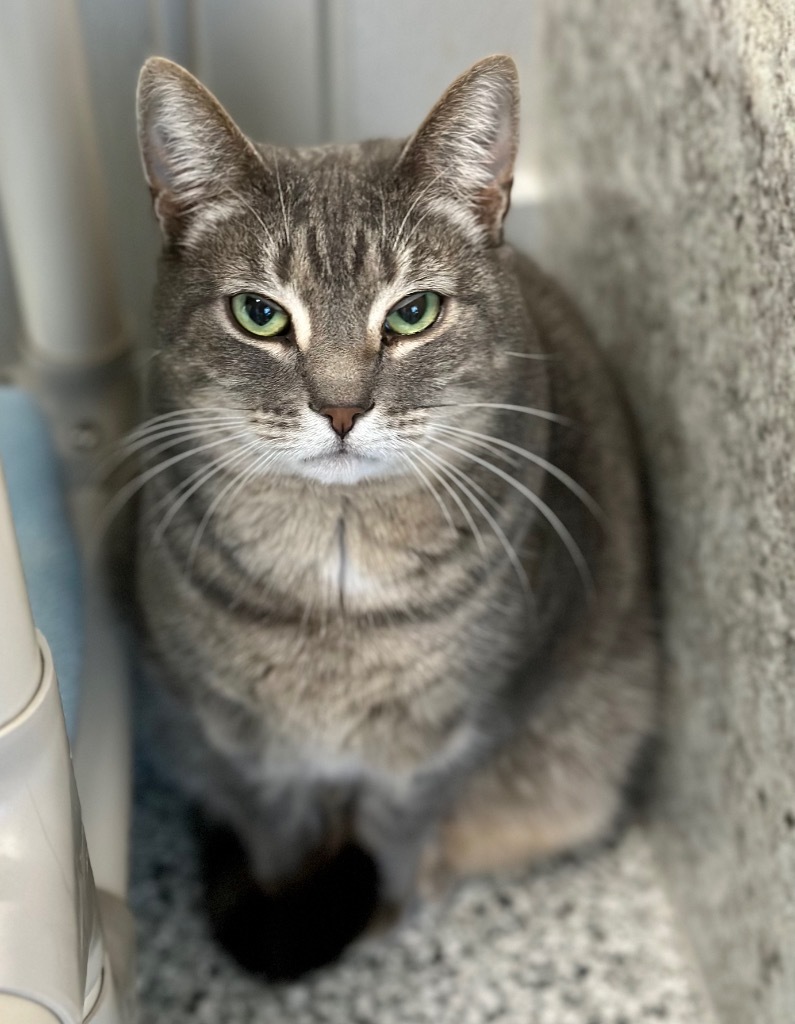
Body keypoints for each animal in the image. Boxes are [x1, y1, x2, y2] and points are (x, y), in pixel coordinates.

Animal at [133, 54, 659, 974]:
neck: (338, 573)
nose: (341, 410)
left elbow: (393, 832)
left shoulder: (450, 732)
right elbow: (279, 838)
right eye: (259, 314)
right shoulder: (240, 740)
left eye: (413, 313)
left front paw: (383, 904)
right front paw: (296, 900)